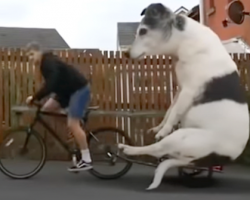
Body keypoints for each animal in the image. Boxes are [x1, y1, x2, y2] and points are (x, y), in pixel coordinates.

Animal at [118, 2, 248, 191]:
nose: (126, 54)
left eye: (143, 31)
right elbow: (169, 111)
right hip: (183, 151)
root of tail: (224, 158)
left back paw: (128, 149)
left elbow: (175, 112)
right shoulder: (180, 89)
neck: (185, 40)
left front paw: (162, 130)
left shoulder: (188, 90)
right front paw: (159, 127)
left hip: (181, 136)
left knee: (157, 149)